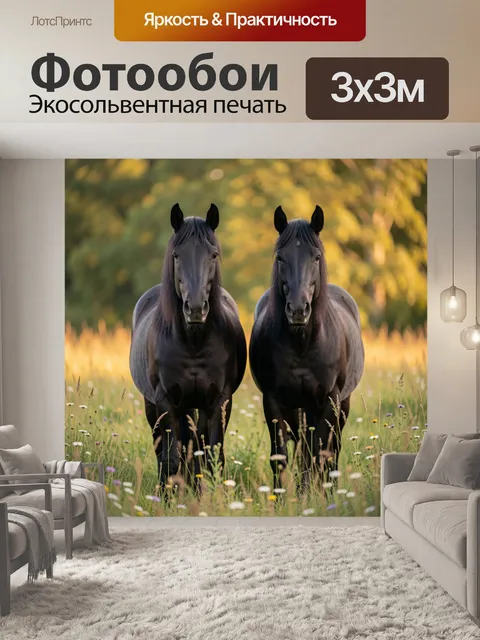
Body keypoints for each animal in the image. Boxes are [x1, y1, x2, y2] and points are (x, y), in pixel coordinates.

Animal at [129, 203, 247, 489]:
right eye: (176, 255)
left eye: (213, 254)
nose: (195, 309)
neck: (194, 342)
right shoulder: (166, 402)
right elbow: (172, 458)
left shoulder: (219, 401)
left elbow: (212, 457)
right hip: (154, 407)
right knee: (165, 451)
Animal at [249, 205, 365, 491]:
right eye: (280, 257)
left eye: (316, 257)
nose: (298, 310)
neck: (302, 345)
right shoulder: (273, 402)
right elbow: (280, 457)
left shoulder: (330, 400)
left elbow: (320, 455)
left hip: (339, 406)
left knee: (329, 452)